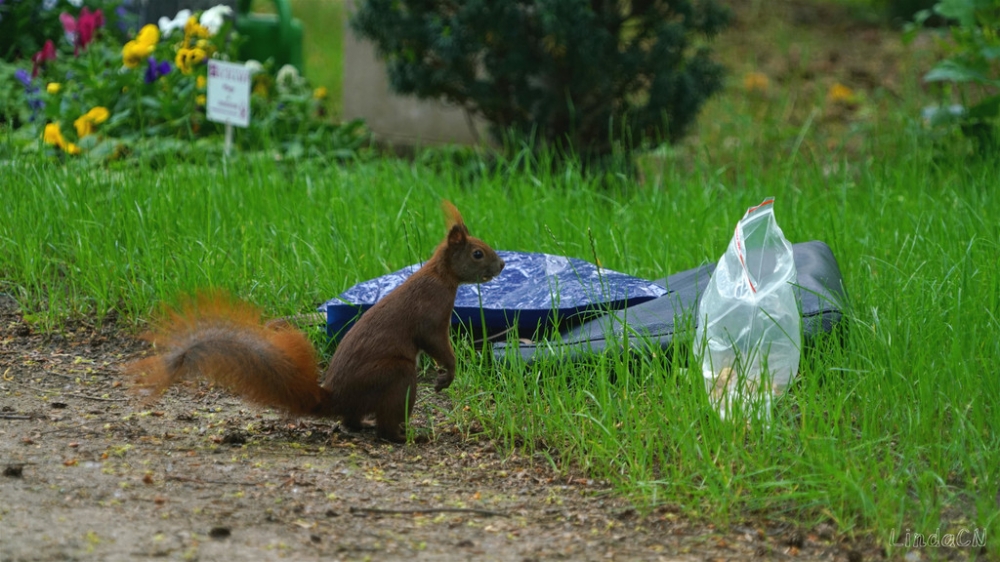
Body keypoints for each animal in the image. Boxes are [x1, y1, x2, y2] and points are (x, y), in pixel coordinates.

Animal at [131, 201, 508, 442]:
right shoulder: (431, 316)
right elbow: (437, 345)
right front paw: (447, 375)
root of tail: (338, 397)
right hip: (397, 375)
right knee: (383, 423)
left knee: (351, 422)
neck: (440, 276)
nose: (503, 265)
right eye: (477, 253)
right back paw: (403, 436)